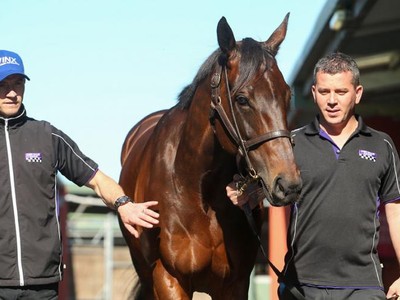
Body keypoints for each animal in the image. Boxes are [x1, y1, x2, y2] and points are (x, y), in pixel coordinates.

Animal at [120, 14, 302, 300]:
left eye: (287, 94)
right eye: (242, 99)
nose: (288, 184)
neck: (196, 187)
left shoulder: (235, 283)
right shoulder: (168, 279)